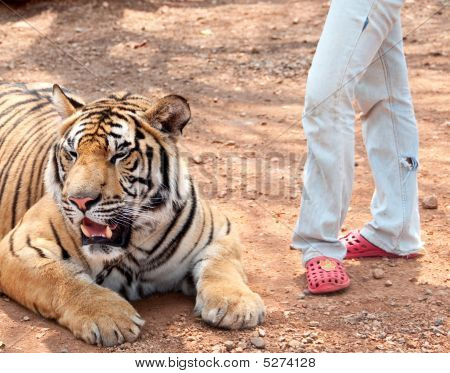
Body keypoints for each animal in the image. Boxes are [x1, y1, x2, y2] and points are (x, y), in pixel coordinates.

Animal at [0, 82, 266, 346]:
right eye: (73, 154)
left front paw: (236, 304)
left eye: (119, 155)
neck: (134, 246)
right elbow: (62, 277)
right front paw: (109, 317)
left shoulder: (221, 229)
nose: (79, 200)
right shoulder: (17, 246)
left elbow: (220, 264)